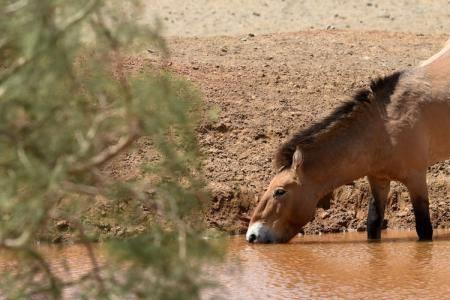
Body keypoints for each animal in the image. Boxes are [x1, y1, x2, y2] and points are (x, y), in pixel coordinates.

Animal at [246, 39, 450, 243]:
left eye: (280, 191)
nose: (252, 235)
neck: (383, 125)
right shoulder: (378, 179)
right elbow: (373, 224)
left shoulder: (416, 179)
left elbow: (424, 229)